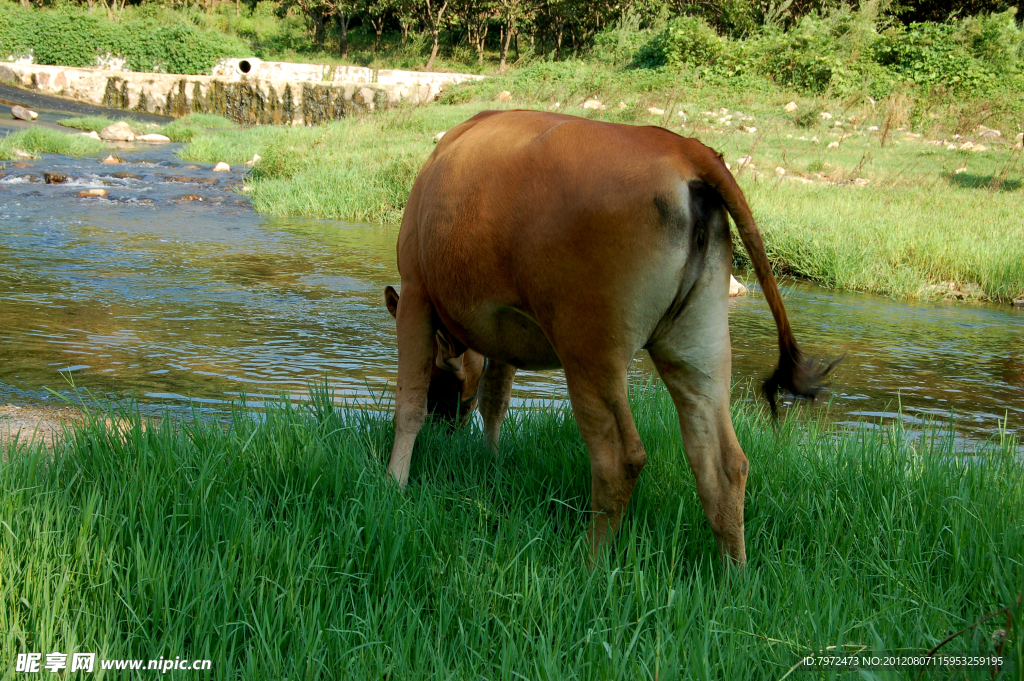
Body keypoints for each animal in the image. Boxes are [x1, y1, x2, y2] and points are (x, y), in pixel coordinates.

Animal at [380, 107, 835, 561]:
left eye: (444, 379)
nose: (447, 427)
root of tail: (685, 147)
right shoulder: (505, 334)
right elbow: (496, 400)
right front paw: (490, 463)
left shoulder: (416, 292)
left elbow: (409, 401)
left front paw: (393, 484)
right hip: (699, 344)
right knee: (723, 463)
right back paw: (732, 572)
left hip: (590, 343)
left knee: (619, 458)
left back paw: (588, 562)